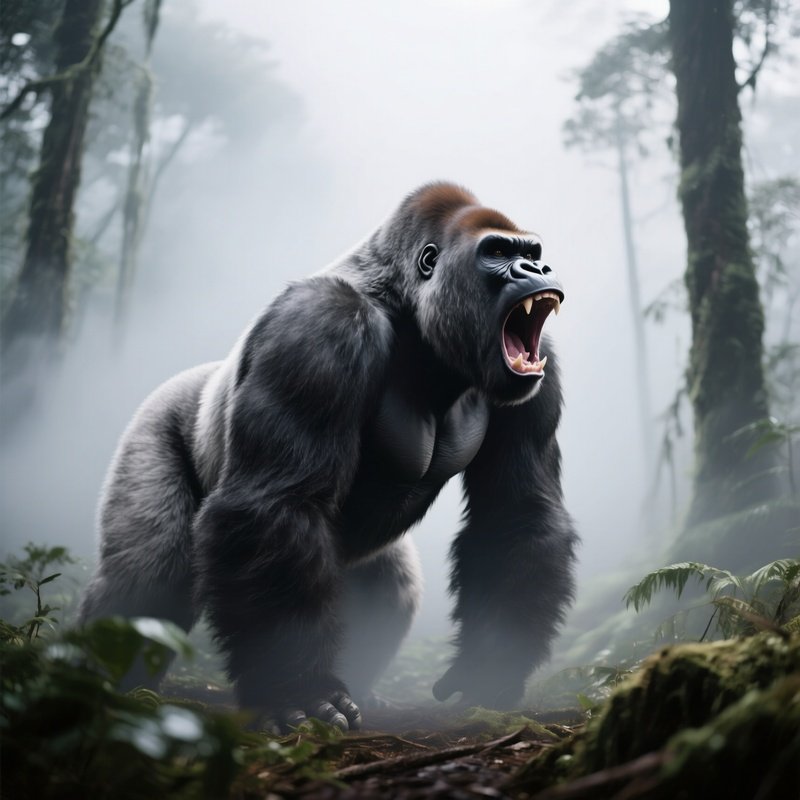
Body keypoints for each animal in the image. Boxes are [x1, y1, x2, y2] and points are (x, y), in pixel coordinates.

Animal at [79, 182, 578, 731]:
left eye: (531, 252)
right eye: (496, 253)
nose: (538, 269)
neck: (409, 310)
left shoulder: (542, 370)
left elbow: (516, 516)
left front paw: (491, 666)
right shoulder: (322, 325)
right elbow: (277, 505)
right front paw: (296, 690)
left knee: (391, 588)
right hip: (156, 422)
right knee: (149, 577)